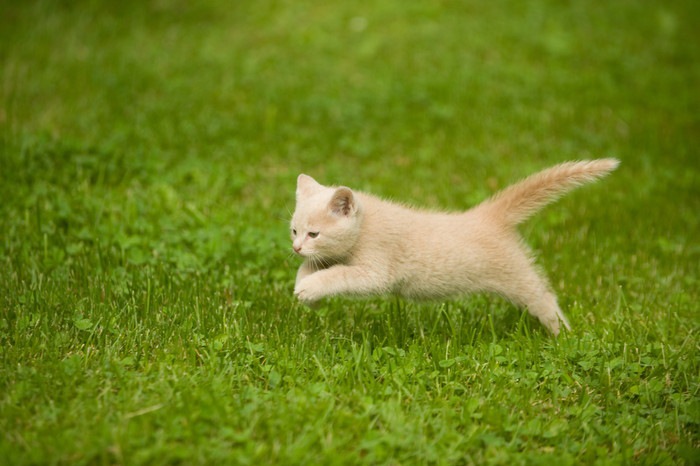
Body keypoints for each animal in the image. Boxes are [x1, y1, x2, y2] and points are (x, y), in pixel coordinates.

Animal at [290, 160, 616, 334]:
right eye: (294, 231)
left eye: (314, 234)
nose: (295, 247)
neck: (366, 225)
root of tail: (487, 214)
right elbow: (312, 266)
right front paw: (306, 290)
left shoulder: (376, 270)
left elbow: (340, 275)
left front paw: (311, 288)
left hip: (517, 277)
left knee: (544, 297)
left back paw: (563, 335)